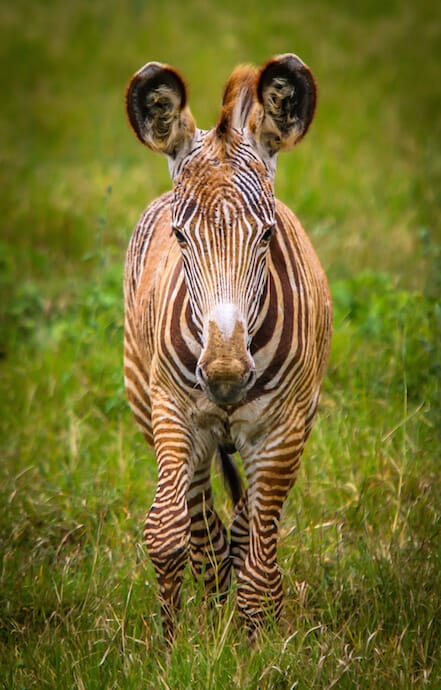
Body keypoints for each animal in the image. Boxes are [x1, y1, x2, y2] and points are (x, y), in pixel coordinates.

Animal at [123, 53, 330, 640]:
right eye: (180, 236)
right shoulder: (173, 412)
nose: (225, 376)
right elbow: (165, 533)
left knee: (248, 530)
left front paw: (257, 642)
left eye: (266, 235)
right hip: (150, 403)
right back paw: (214, 605)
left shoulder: (283, 430)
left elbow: (258, 550)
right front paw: (172, 642)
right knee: (205, 523)